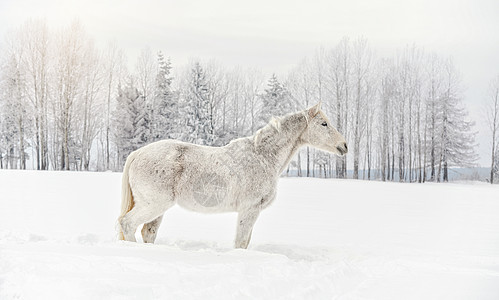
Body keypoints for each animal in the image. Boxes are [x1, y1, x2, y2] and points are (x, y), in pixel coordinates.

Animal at [119, 103, 350, 248]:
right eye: (324, 124)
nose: (344, 145)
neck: (261, 156)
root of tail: (138, 153)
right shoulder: (249, 209)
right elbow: (241, 242)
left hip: (158, 209)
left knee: (147, 232)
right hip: (154, 205)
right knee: (127, 223)